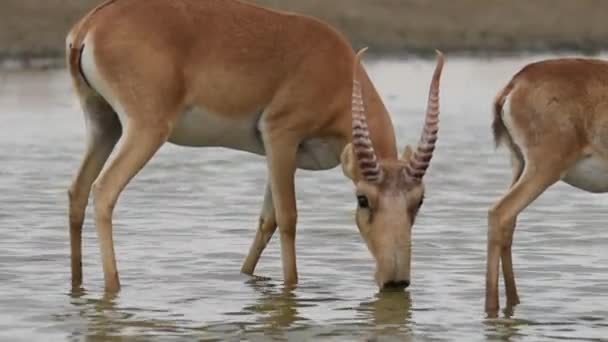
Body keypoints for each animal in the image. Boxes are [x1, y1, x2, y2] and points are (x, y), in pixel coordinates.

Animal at [66, 0, 444, 294]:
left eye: (419, 200)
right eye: (363, 198)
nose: (395, 281)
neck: (334, 66)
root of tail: (92, 24)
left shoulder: (282, 157)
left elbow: (267, 220)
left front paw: (247, 279)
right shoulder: (280, 137)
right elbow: (289, 218)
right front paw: (291, 289)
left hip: (104, 125)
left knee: (78, 191)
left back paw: (77, 287)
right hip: (145, 129)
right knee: (104, 190)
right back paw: (114, 288)